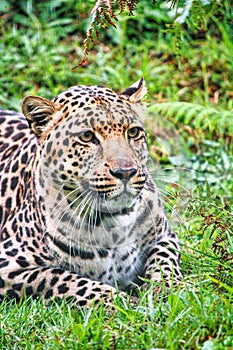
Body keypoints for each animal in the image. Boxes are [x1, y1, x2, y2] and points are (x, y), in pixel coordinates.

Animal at [0, 78, 182, 306]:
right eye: (87, 136)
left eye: (133, 133)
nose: (125, 172)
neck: (113, 223)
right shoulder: (8, 264)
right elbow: (64, 279)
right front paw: (123, 304)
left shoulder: (165, 236)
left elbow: (165, 261)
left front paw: (168, 291)